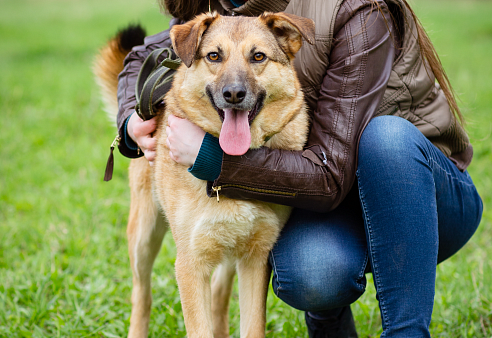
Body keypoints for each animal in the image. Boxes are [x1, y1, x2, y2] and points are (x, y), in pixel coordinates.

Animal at [95, 11, 316, 336]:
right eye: (214, 56)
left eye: (258, 56)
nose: (234, 94)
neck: (232, 167)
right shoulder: (191, 263)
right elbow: (198, 327)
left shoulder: (255, 259)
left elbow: (251, 325)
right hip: (144, 236)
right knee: (142, 294)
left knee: (219, 295)